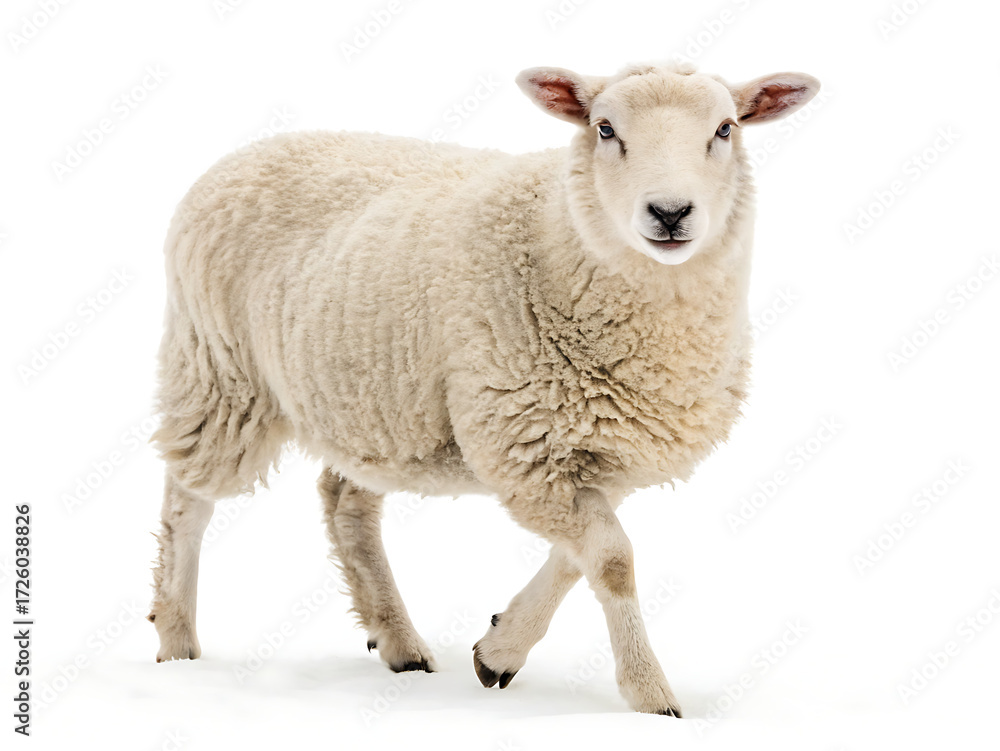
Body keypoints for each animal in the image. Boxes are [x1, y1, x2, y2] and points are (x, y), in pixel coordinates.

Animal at [147, 59, 820, 716]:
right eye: (605, 129)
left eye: (726, 129)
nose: (671, 213)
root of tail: (246, 152)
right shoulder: (527, 446)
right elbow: (612, 560)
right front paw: (652, 695)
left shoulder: (592, 452)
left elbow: (578, 559)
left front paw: (500, 650)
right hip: (220, 372)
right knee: (187, 501)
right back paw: (176, 642)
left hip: (368, 401)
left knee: (346, 507)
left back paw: (398, 641)